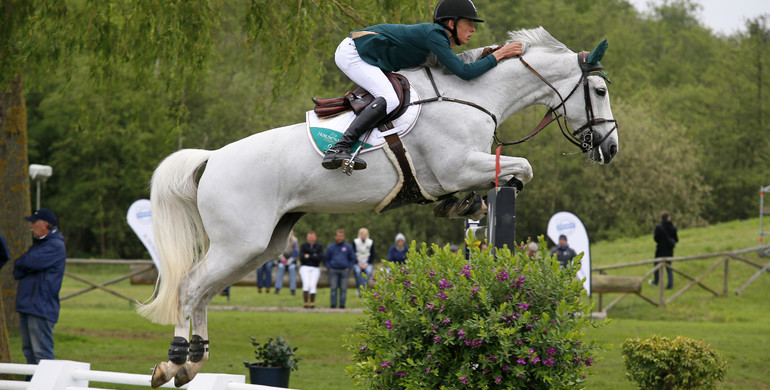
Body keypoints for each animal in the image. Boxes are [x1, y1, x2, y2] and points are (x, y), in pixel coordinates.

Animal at [140, 27, 616, 386]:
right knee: (189, 287)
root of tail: (212, 157)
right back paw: (174, 361)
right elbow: (523, 169)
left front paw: (467, 207)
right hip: (240, 243)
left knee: (203, 292)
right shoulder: (457, 167)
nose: (609, 148)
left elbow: (501, 182)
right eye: (598, 89)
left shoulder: (465, 168)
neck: (471, 97)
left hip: (263, 246)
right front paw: (477, 199)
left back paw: (192, 363)